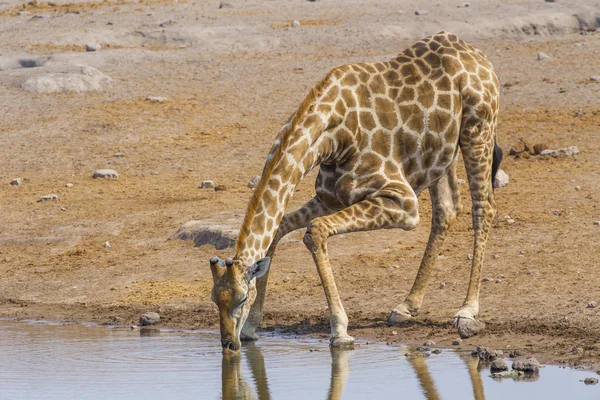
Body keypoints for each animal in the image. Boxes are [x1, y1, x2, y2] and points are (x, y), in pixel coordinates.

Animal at [211, 32, 502, 354]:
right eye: (214, 299)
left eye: (241, 298)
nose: (229, 344)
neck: (331, 137)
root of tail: (477, 54)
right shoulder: (331, 197)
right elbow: (280, 228)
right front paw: (252, 327)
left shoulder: (403, 202)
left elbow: (315, 231)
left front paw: (340, 331)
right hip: (440, 157)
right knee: (447, 210)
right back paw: (406, 306)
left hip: (478, 131)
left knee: (484, 207)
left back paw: (467, 310)